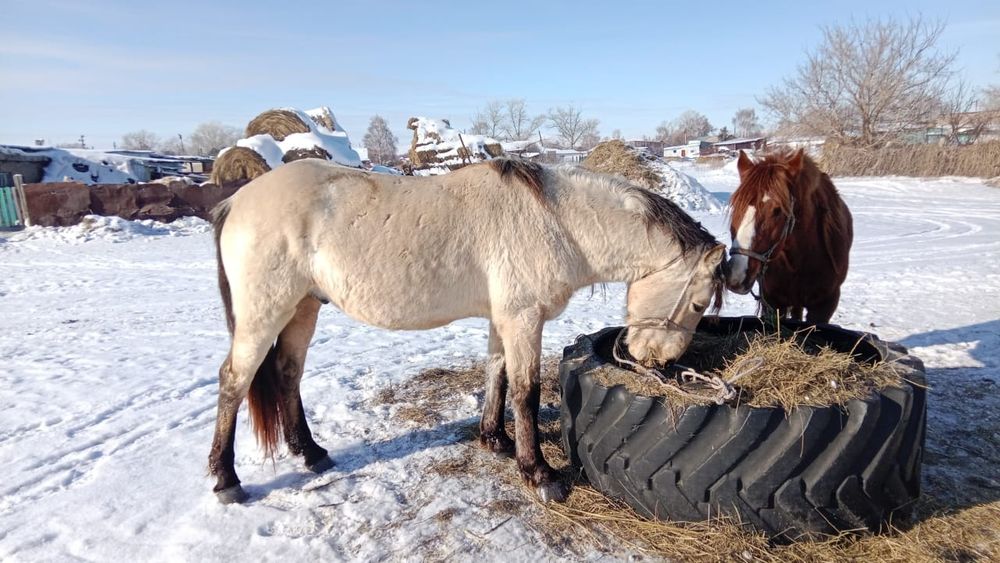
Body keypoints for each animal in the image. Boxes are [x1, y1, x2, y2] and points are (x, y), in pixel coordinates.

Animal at [207, 157, 727, 504]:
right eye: (699, 303)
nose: (657, 363)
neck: (556, 221)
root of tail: (234, 201)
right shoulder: (523, 318)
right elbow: (525, 391)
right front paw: (539, 473)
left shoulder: (504, 318)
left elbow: (497, 375)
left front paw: (494, 441)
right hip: (265, 313)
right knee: (234, 380)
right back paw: (226, 480)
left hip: (302, 309)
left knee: (288, 373)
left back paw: (311, 453)